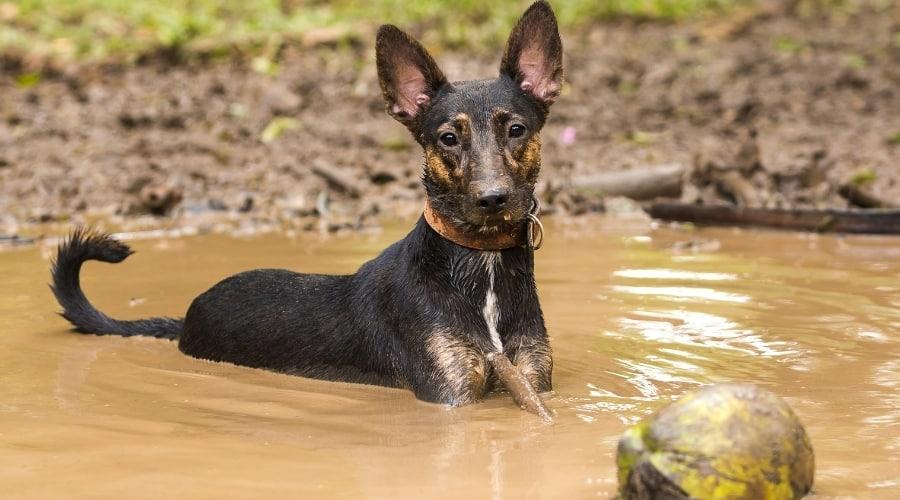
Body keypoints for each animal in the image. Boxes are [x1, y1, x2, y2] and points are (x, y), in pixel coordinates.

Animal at [49, 0, 564, 406]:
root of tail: (187, 316)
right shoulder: (449, 392)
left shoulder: (531, 378)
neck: (480, 262)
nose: (492, 199)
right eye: (448, 138)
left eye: (516, 129)